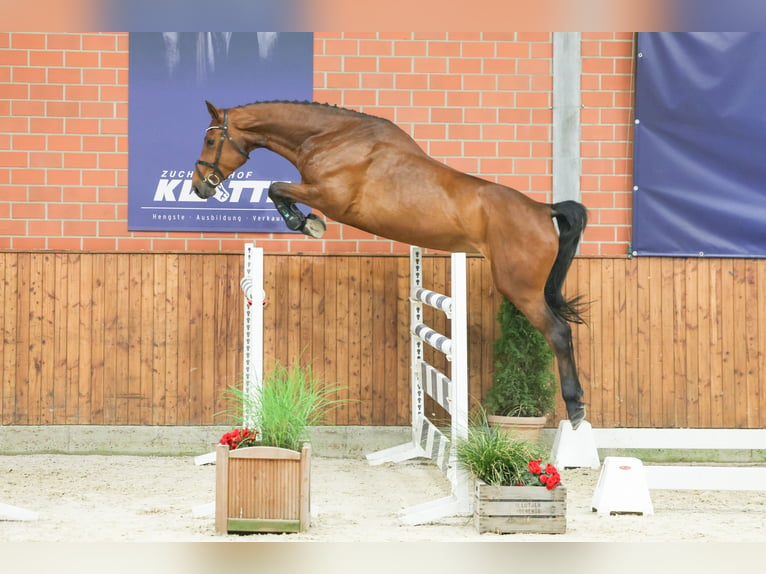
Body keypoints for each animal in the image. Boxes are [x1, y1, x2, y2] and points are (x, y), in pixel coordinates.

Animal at [192, 101, 588, 430]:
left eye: (210, 141)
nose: (199, 188)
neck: (332, 139)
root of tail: (543, 210)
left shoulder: (329, 197)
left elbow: (276, 188)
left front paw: (306, 223)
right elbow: (278, 188)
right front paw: (306, 222)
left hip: (521, 288)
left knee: (558, 333)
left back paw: (576, 408)